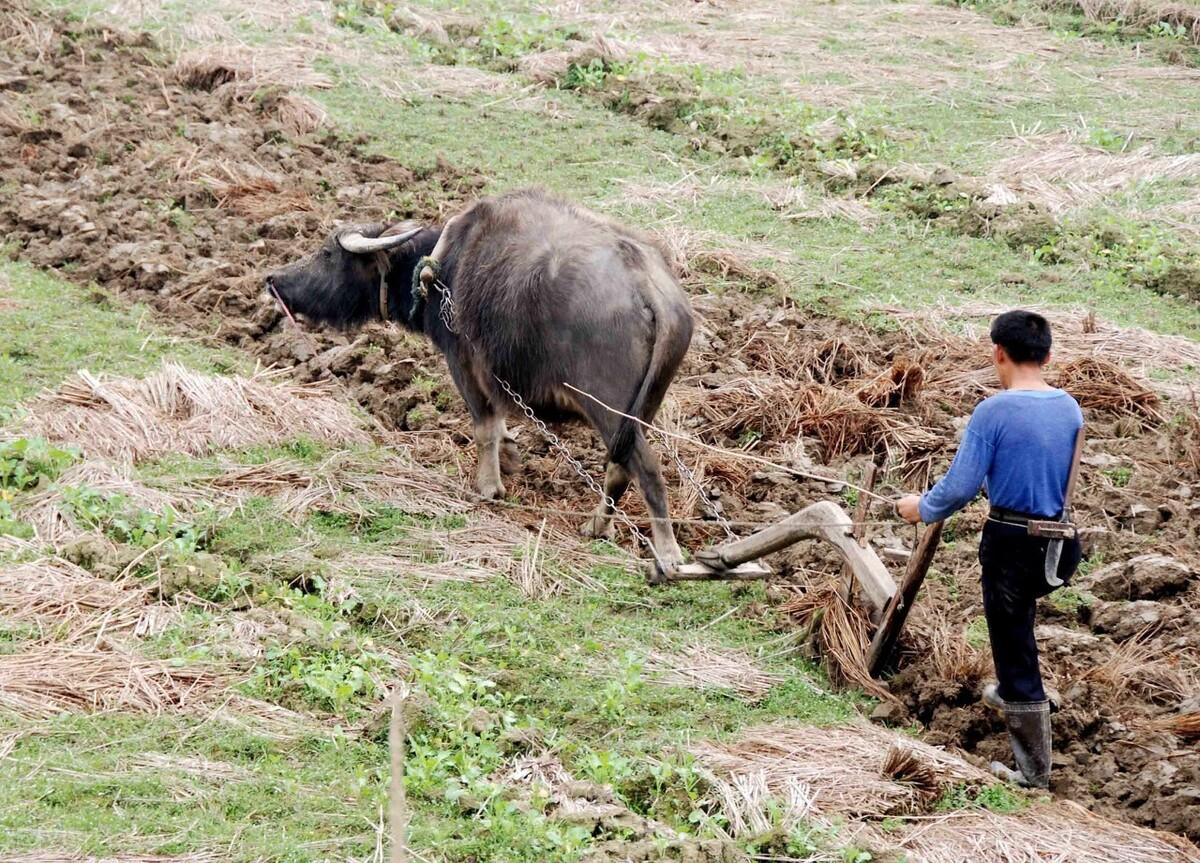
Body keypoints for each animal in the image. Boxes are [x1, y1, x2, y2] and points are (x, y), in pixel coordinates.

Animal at [262, 192, 696, 576]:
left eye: (327, 254)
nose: (274, 279)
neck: (440, 269)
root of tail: (651, 289)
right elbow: (500, 424)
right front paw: (510, 454)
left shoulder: (464, 363)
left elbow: (484, 425)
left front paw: (488, 486)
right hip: (644, 408)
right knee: (620, 468)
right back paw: (597, 526)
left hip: (608, 407)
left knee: (643, 469)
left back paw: (667, 553)